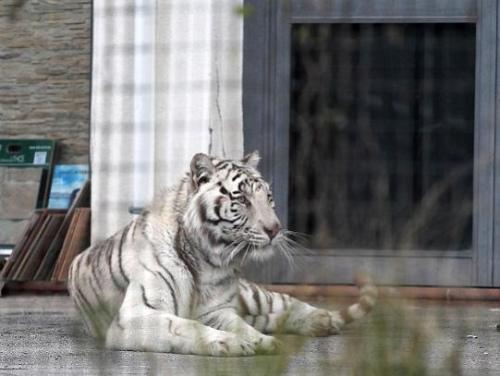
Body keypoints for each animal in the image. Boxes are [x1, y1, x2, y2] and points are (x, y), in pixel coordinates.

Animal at [68, 152, 376, 356]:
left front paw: (258, 341)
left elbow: (241, 326)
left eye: (268, 198)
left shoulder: (217, 311)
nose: (275, 229)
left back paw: (322, 320)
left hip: (251, 295)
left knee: (285, 303)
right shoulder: (135, 316)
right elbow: (186, 326)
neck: (206, 259)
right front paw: (233, 343)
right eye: (242, 199)